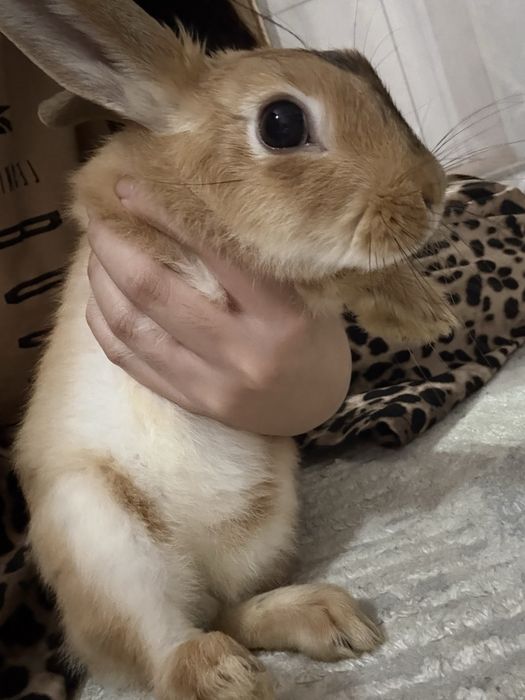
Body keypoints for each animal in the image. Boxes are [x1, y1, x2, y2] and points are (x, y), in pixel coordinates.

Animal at [0, 1, 456, 698]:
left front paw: (423, 308)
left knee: (231, 611)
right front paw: (424, 311)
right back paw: (228, 676)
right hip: (100, 537)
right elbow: (324, 275)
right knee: (167, 649)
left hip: (269, 517)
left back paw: (327, 619)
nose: (432, 193)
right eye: (281, 122)